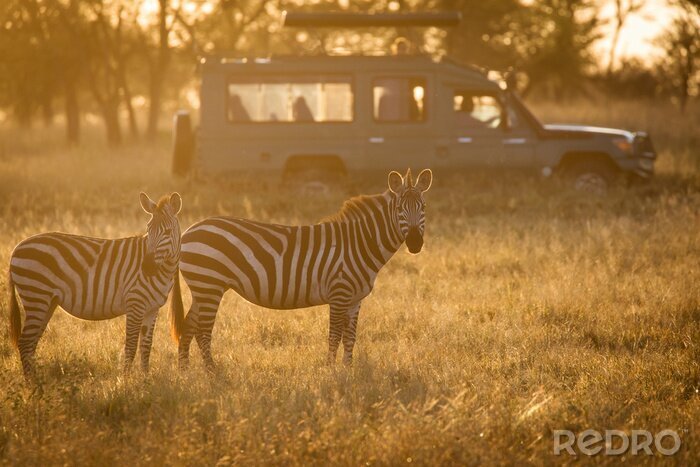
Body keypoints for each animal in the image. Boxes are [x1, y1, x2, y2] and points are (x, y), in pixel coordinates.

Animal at [8, 192, 185, 378]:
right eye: (148, 229)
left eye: (167, 232)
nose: (146, 267)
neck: (164, 269)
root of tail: (17, 247)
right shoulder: (135, 303)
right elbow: (131, 346)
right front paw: (127, 380)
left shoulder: (152, 308)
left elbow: (146, 346)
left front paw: (145, 378)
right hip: (36, 296)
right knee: (25, 342)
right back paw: (32, 383)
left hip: (47, 302)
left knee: (31, 343)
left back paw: (36, 381)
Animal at [173, 168, 432, 370]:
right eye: (399, 208)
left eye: (423, 206)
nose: (415, 243)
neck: (359, 242)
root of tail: (189, 230)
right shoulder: (339, 293)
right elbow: (334, 336)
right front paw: (331, 371)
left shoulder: (355, 299)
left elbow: (350, 337)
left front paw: (348, 371)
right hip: (209, 285)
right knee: (203, 332)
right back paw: (213, 373)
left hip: (203, 288)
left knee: (188, 327)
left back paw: (185, 372)